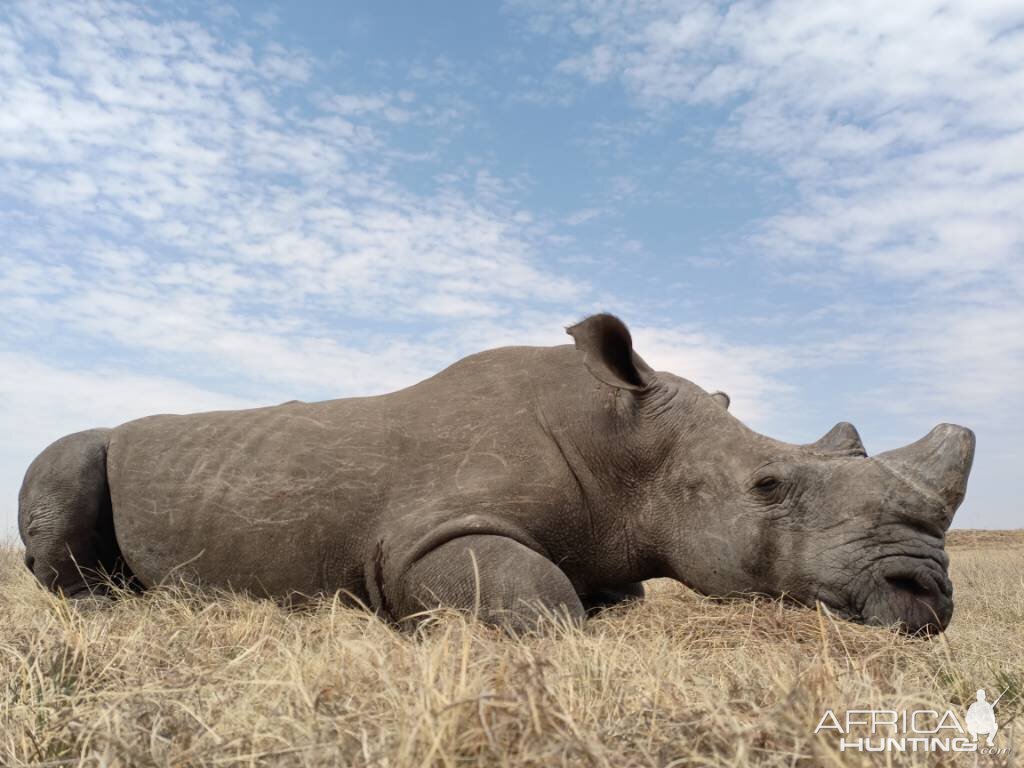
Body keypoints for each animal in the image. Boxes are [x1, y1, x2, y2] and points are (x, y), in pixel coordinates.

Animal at [19, 315, 970, 634]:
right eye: (771, 488)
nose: (924, 597)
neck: (625, 445)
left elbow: (609, 594)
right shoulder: (427, 535)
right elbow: (541, 604)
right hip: (77, 448)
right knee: (68, 463)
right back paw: (111, 610)